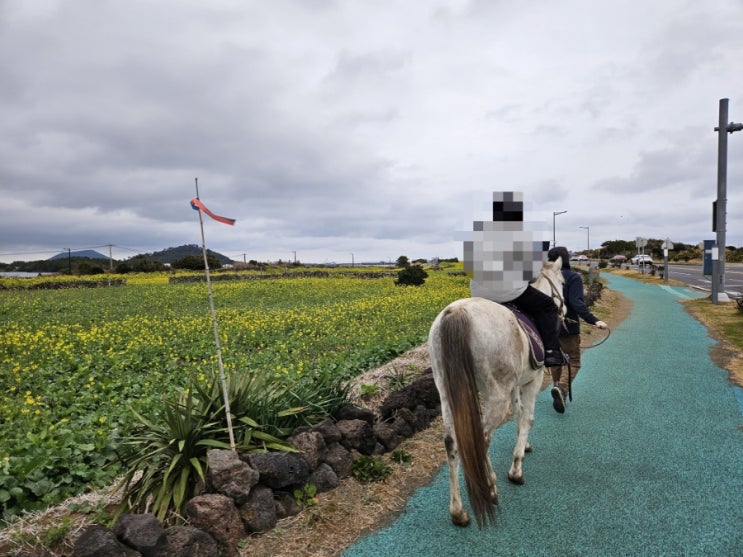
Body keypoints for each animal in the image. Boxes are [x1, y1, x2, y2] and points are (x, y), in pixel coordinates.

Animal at [428, 256, 568, 524]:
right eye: (564, 282)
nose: (565, 310)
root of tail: (457, 312)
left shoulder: (514, 385)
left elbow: (518, 415)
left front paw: (524, 444)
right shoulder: (532, 381)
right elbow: (527, 417)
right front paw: (516, 469)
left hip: (446, 394)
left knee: (452, 442)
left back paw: (459, 511)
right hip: (495, 396)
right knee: (480, 439)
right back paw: (490, 487)